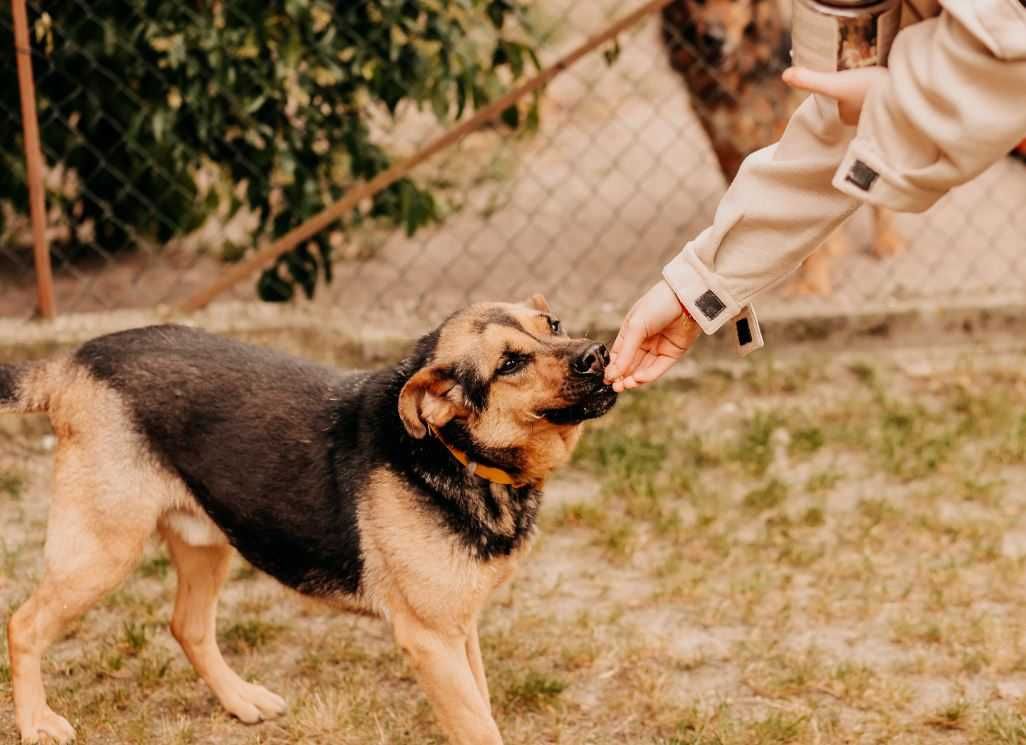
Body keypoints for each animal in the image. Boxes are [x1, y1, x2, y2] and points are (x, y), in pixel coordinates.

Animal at [0, 297, 615, 745]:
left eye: (552, 324)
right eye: (509, 363)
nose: (599, 354)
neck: (454, 453)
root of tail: (74, 360)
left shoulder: (460, 629)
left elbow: (482, 708)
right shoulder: (432, 640)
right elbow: (478, 726)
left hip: (205, 542)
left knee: (187, 625)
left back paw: (239, 699)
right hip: (101, 551)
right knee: (23, 624)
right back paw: (36, 723)